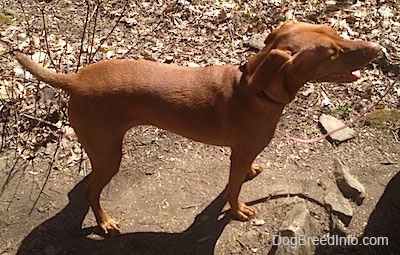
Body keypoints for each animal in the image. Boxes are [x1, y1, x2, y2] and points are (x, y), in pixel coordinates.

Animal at [14, 20, 378, 234]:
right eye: (330, 54)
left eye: (336, 34)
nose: (378, 49)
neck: (256, 90)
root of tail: (74, 80)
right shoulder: (237, 155)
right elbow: (232, 191)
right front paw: (238, 211)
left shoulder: (241, 153)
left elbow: (242, 176)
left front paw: (252, 173)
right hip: (110, 155)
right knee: (93, 191)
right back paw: (104, 222)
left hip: (103, 149)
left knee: (85, 186)